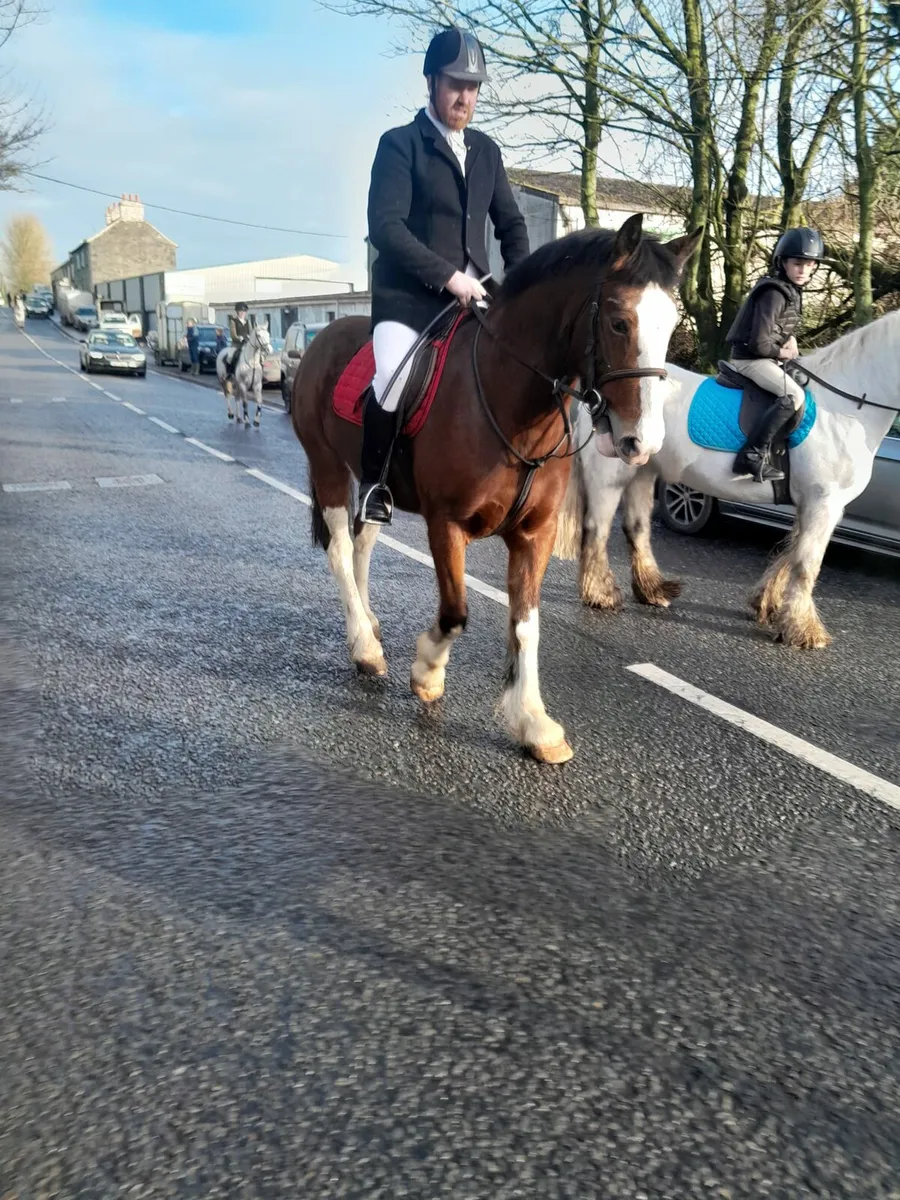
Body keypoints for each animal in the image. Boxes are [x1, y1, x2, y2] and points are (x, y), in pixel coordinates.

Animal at [290, 215, 702, 762]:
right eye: (619, 322)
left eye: (672, 323)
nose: (644, 442)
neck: (511, 403)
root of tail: (324, 335)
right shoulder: (447, 526)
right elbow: (456, 612)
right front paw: (427, 672)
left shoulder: (534, 533)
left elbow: (526, 622)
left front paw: (533, 723)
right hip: (328, 467)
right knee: (339, 548)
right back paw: (365, 647)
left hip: (373, 481)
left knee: (362, 545)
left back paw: (370, 626)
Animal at [553, 309, 900, 650]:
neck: (843, 409)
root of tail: (594, 392)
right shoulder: (823, 502)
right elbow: (806, 563)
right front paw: (804, 630)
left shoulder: (815, 505)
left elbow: (791, 553)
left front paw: (768, 604)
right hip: (610, 475)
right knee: (597, 529)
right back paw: (601, 594)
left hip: (643, 471)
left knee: (636, 529)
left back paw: (654, 591)